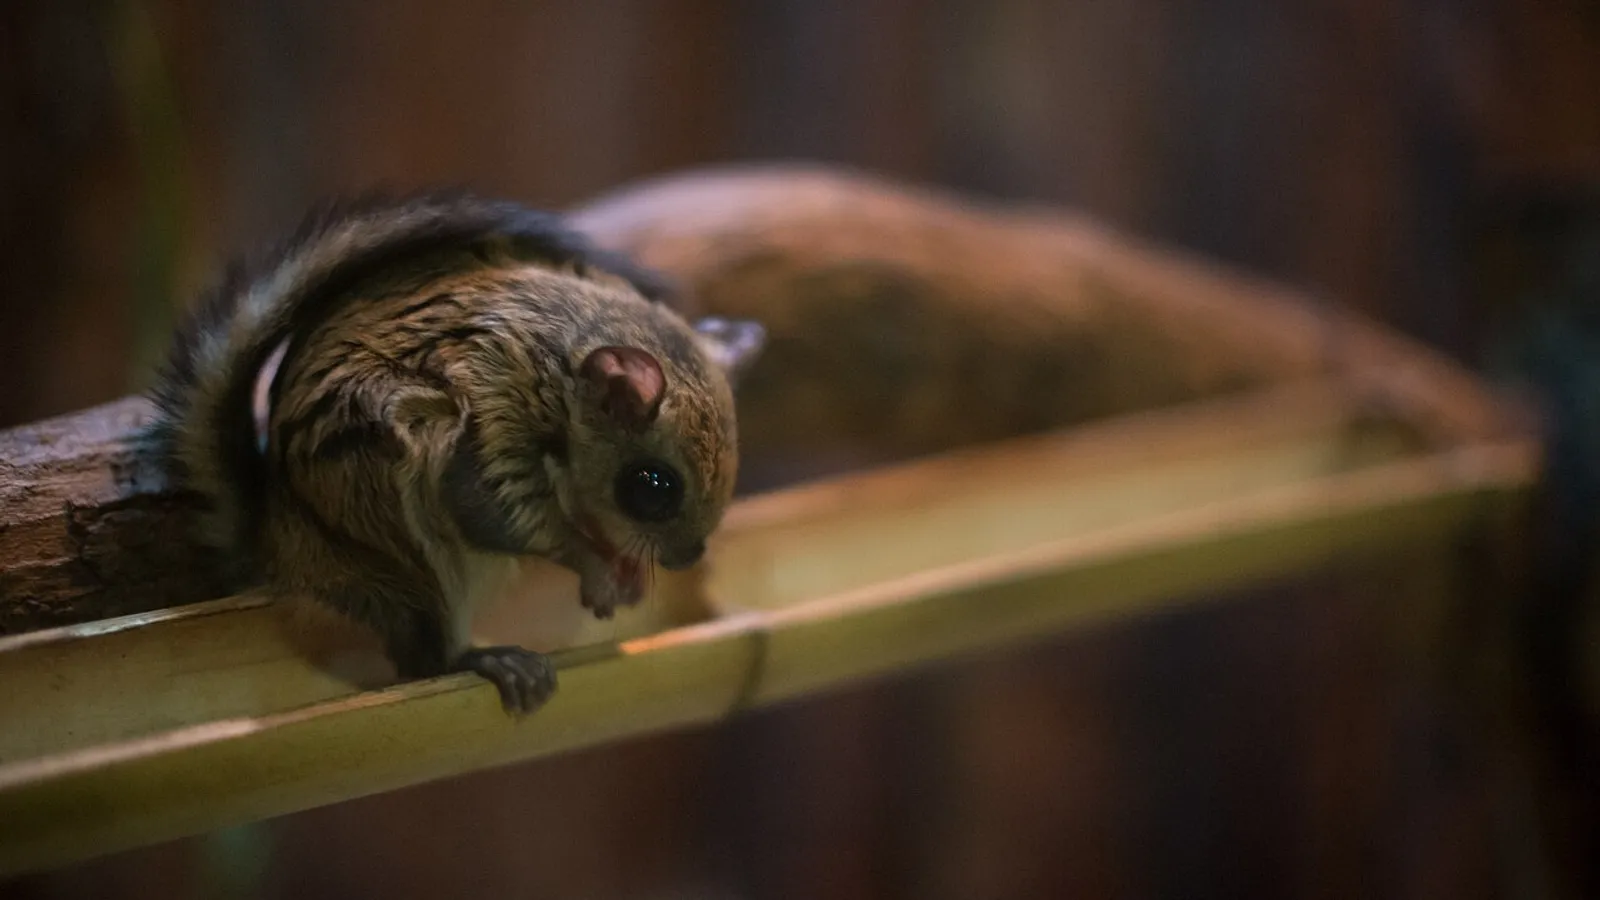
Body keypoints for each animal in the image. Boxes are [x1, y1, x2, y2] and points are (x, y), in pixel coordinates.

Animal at [147, 192, 765, 714]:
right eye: (652, 487)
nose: (687, 557)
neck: (559, 375)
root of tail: (280, 552)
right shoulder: (491, 426)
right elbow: (502, 517)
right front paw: (596, 566)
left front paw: (625, 572)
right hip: (400, 546)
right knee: (424, 659)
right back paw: (485, 659)